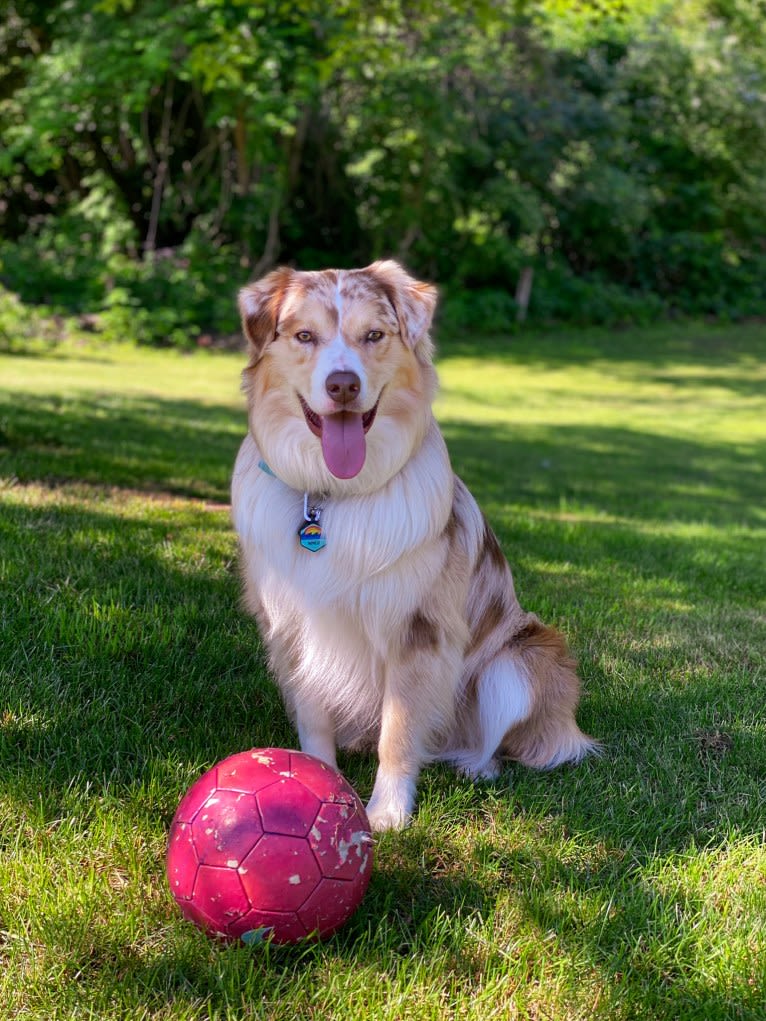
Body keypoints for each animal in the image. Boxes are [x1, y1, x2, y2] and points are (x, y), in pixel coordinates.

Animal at [229, 261, 600, 829]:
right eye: (305, 336)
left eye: (373, 336)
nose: (343, 384)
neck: (333, 496)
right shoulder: (294, 628)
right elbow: (314, 721)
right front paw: (318, 782)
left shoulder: (417, 631)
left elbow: (399, 732)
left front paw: (387, 812)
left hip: (521, 662)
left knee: (510, 741)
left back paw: (478, 765)